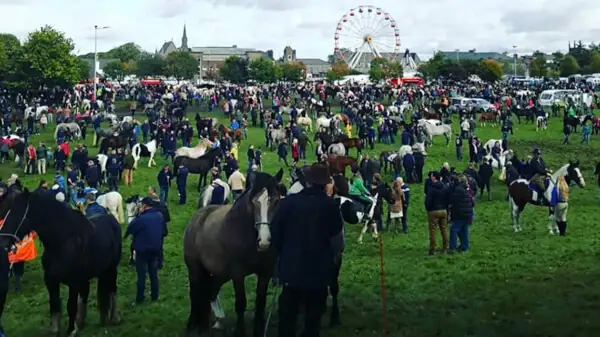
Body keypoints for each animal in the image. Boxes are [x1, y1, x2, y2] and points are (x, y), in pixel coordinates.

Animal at [183, 171, 284, 336]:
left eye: (275, 201)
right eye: (253, 202)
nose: (264, 241)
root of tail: (197, 217)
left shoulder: (265, 273)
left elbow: (260, 302)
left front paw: (258, 330)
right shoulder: (238, 273)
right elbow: (241, 303)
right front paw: (239, 331)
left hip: (219, 274)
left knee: (209, 292)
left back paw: (206, 324)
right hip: (195, 269)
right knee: (195, 292)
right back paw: (192, 324)